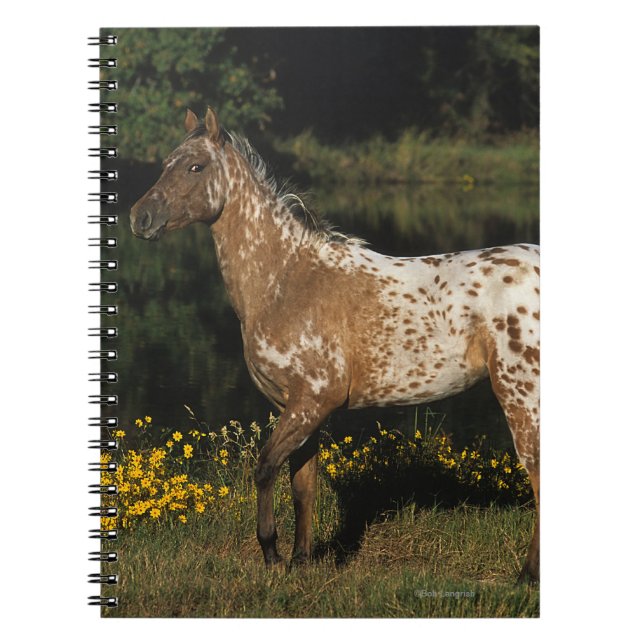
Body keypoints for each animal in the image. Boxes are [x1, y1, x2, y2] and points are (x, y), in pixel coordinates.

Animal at [130, 107, 540, 583]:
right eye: (165, 164)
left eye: (196, 167)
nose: (140, 218)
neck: (286, 279)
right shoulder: (300, 407)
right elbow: (303, 485)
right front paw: (300, 561)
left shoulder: (312, 401)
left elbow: (265, 468)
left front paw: (272, 554)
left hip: (519, 393)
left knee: (537, 471)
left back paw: (527, 577)